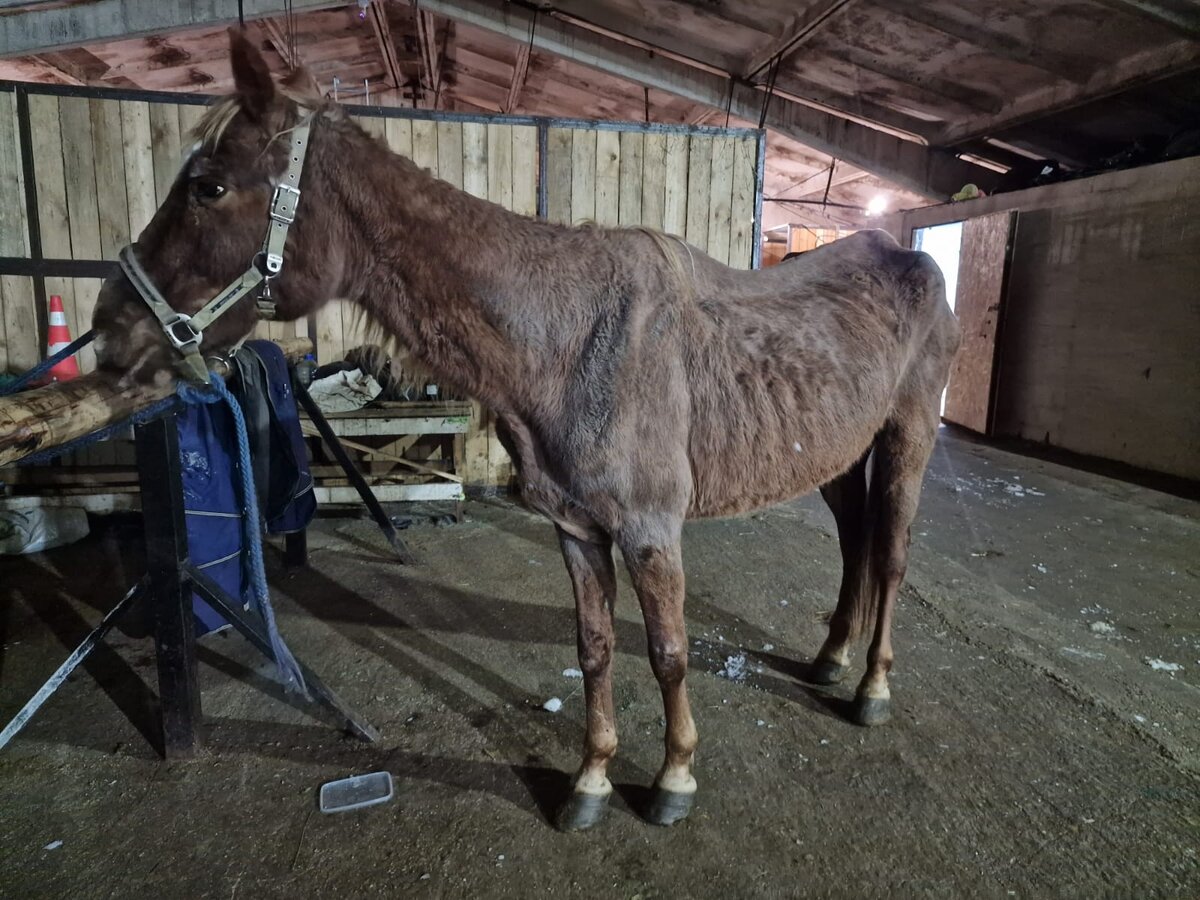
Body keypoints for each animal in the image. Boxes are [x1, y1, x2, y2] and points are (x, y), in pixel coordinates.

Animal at [91, 33, 955, 840]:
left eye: (208, 186)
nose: (112, 333)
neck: (568, 339)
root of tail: (908, 259)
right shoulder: (575, 529)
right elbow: (594, 649)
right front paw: (592, 782)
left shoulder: (650, 531)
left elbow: (669, 653)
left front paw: (673, 778)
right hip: (840, 456)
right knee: (857, 545)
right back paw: (830, 658)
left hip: (906, 441)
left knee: (893, 554)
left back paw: (871, 689)